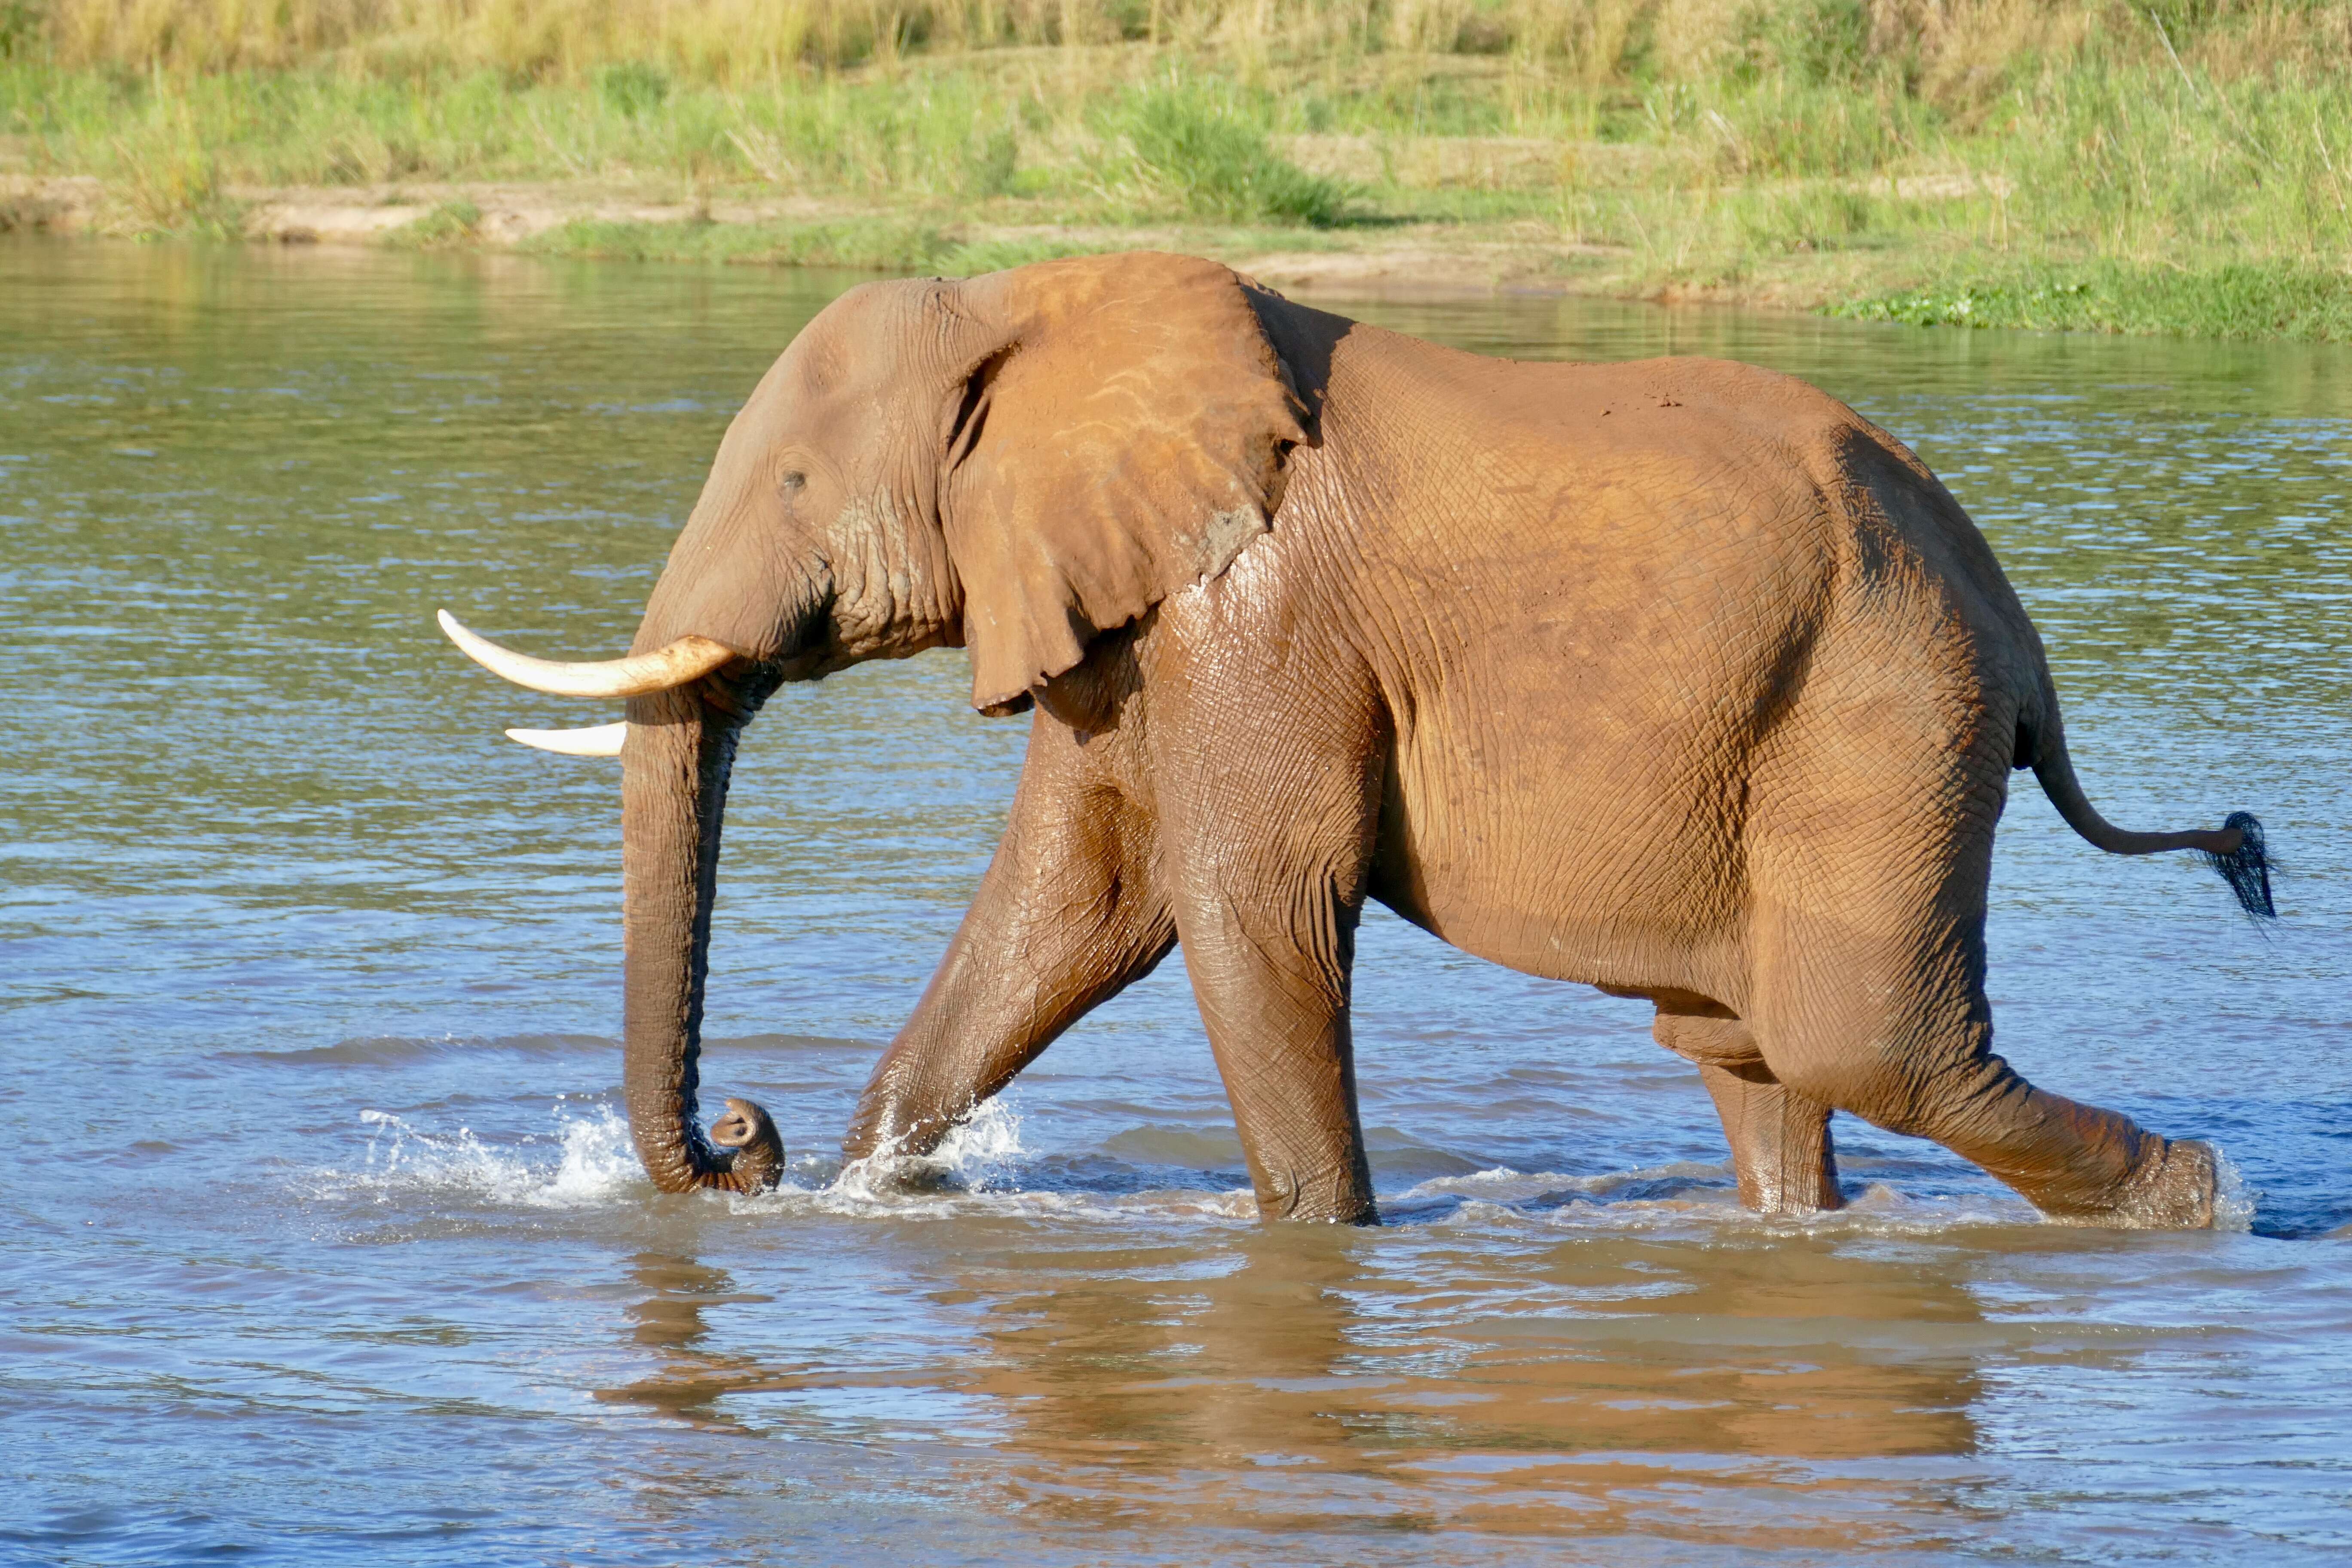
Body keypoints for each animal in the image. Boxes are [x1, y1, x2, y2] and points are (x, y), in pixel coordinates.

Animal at [442, 248, 2276, 1222]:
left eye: (796, 481)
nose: (741, 1142)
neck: (1031, 294)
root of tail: (2018, 637)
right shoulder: (1131, 621)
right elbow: (1072, 905)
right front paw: (872, 1188)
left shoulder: (1255, 612)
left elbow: (1240, 904)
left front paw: (1320, 1247)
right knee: (1746, 1047)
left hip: (1879, 710)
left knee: (1861, 1040)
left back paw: (2198, 1202)